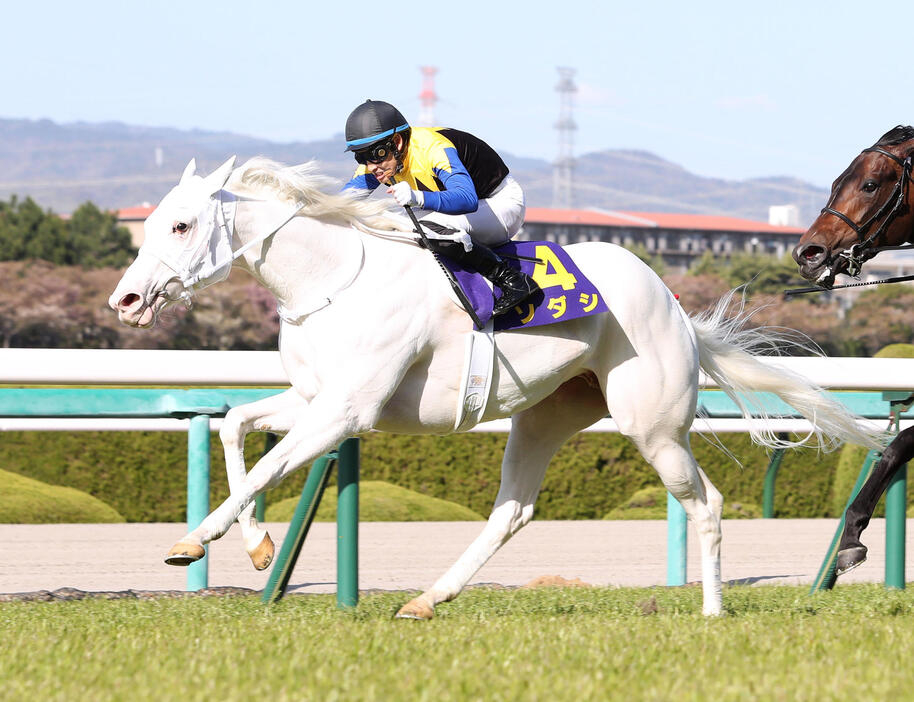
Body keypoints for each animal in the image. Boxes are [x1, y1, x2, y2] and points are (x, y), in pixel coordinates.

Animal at [110, 157, 880, 620]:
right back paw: (427, 598)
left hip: (653, 425)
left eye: (180, 224)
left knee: (707, 501)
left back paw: (713, 609)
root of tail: (671, 301)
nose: (126, 299)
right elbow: (237, 426)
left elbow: (268, 462)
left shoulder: (346, 410)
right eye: (148, 224)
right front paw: (259, 548)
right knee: (513, 511)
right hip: (545, 415)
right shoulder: (313, 398)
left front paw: (193, 541)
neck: (333, 280)